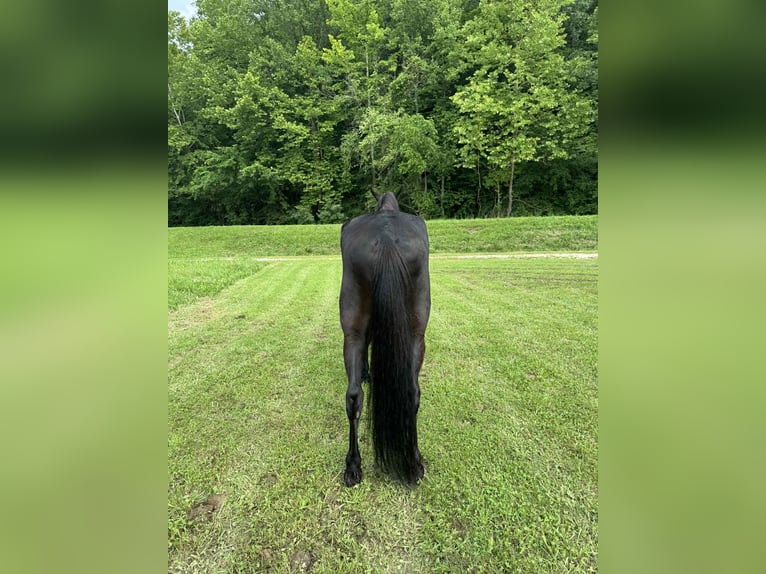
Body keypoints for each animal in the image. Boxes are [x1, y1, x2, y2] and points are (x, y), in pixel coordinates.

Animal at [339, 190, 431, 487]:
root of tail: (387, 237)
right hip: (416, 334)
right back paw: (411, 461)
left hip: (355, 328)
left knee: (355, 396)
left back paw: (354, 466)